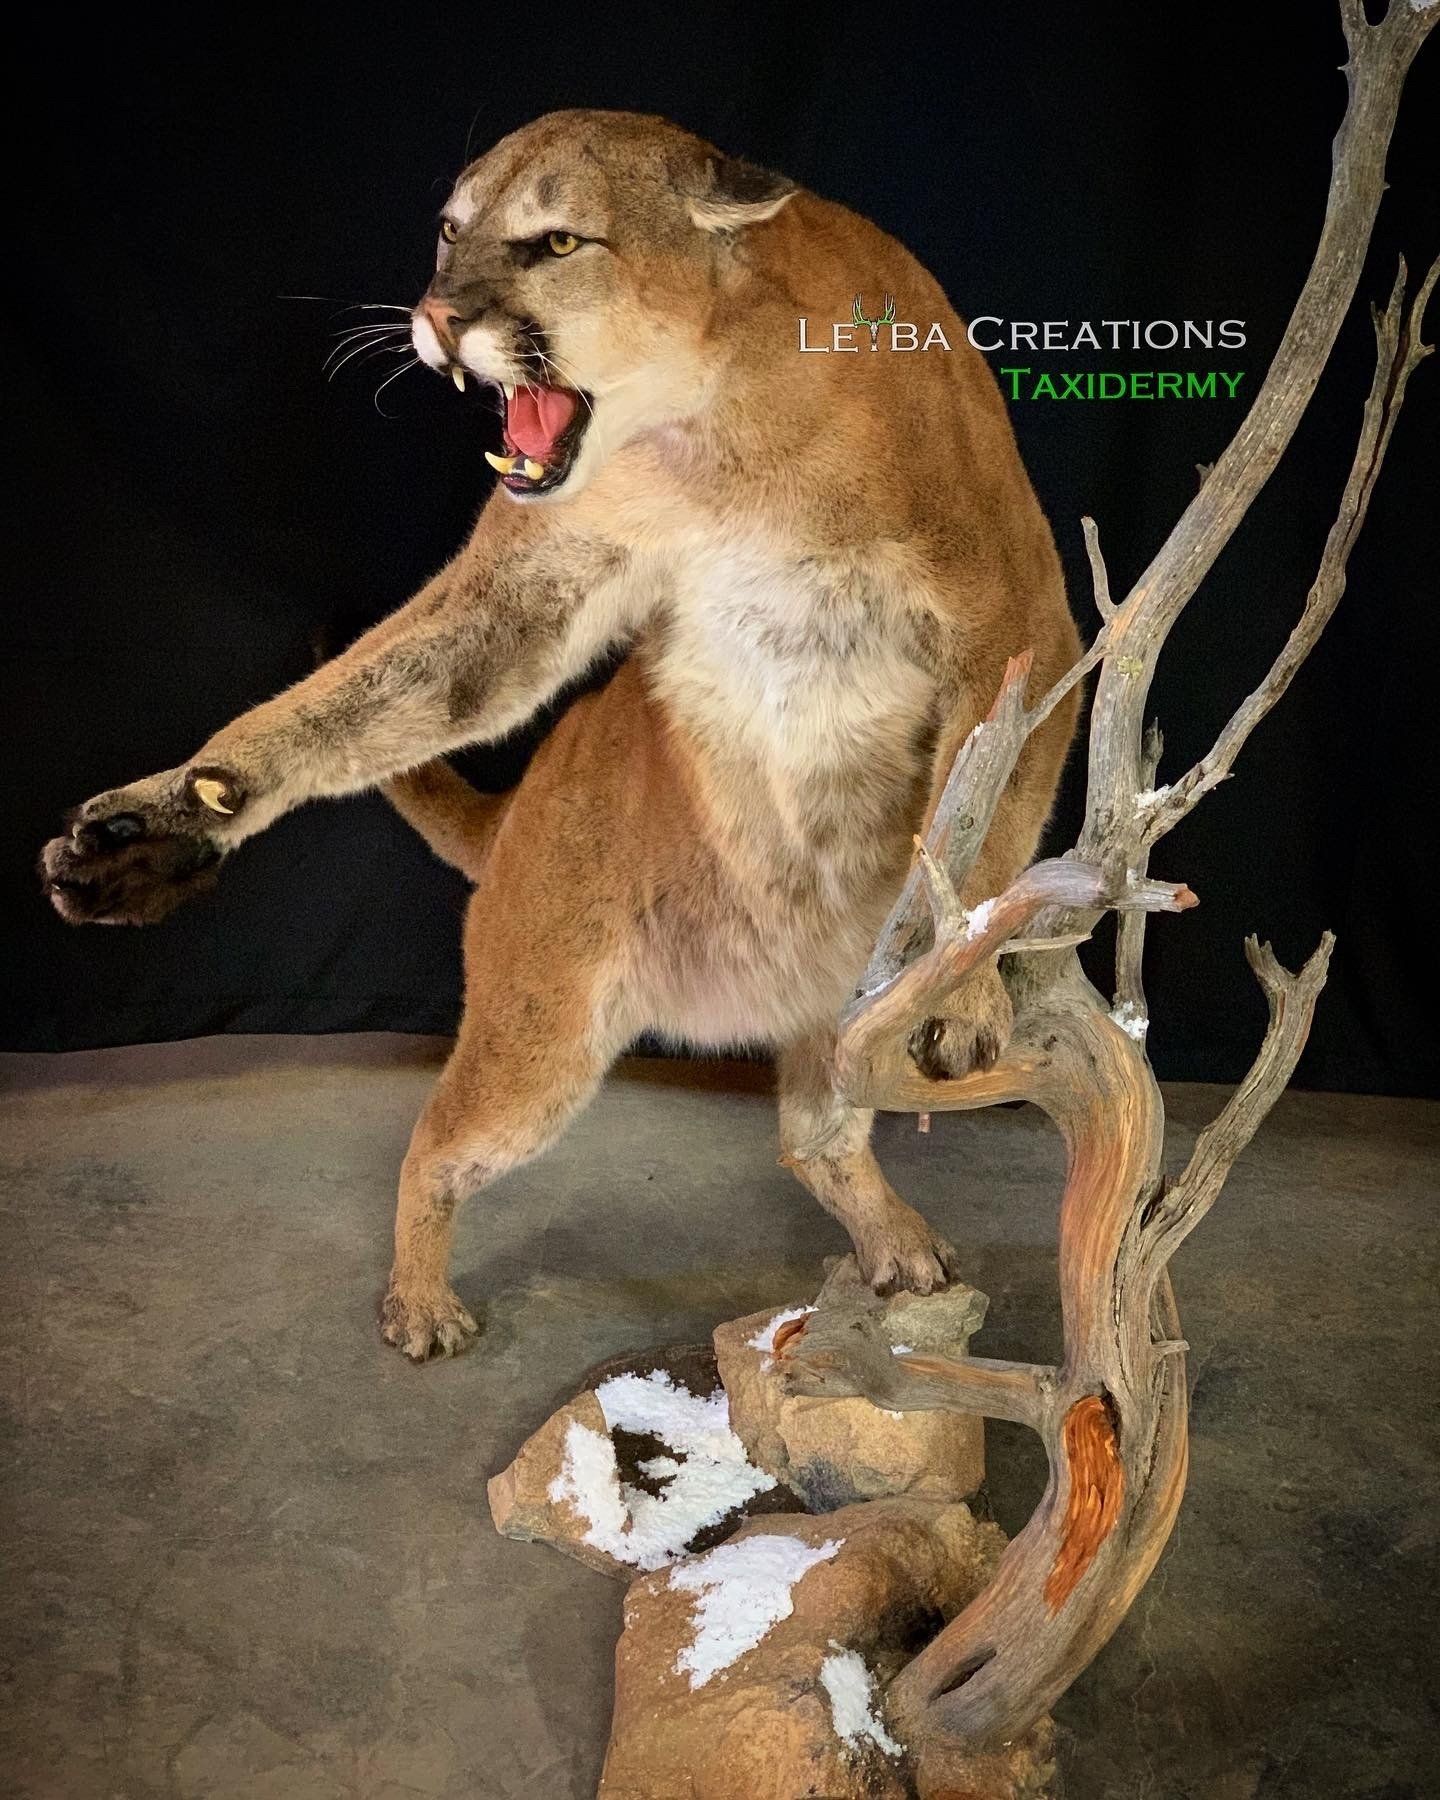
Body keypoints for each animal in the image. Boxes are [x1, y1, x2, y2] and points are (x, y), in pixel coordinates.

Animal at [41, 110, 1081, 1361]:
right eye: (450, 231)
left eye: (555, 241)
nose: (439, 319)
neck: (715, 428)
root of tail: (523, 813)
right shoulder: (529, 584)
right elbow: (376, 692)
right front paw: (159, 826)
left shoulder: (1022, 622)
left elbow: (987, 815)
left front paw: (966, 992)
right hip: (544, 1027)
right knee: (441, 1145)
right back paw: (421, 1301)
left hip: (814, 1001)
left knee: (812, 1131)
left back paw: (896, 1247)